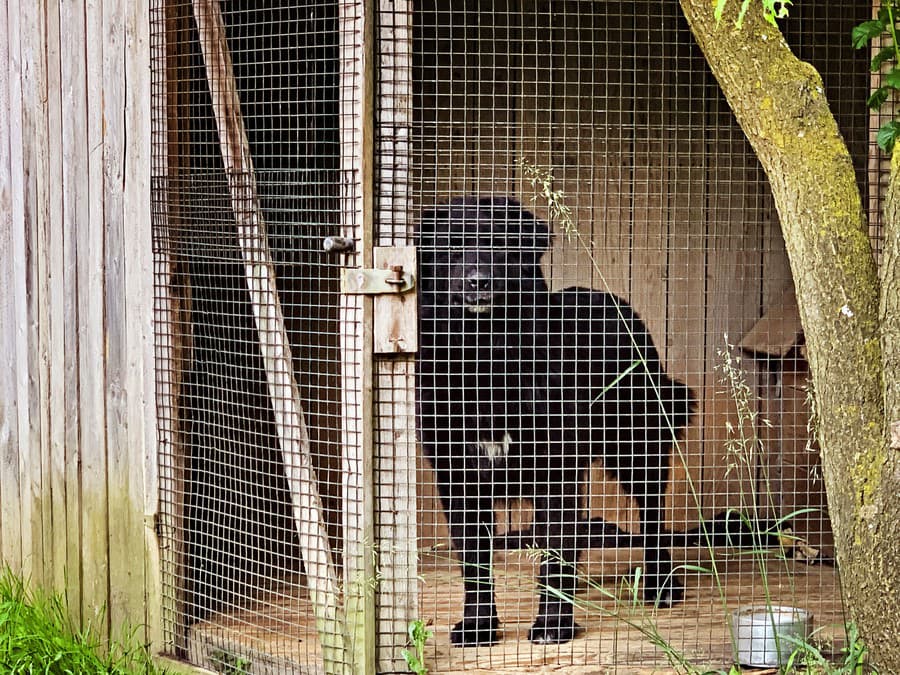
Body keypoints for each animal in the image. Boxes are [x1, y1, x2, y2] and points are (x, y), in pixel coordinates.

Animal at [416, 194, 696, 644]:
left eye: (501, 245)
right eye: (451, 245)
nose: (478, 281)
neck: (486, 357)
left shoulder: (555, 468)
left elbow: (555, 554)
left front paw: (552, 623)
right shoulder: (458, 476)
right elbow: (474, 559)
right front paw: (478, 624)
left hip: (637, 447)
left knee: (652, 518)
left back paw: (661, 583)